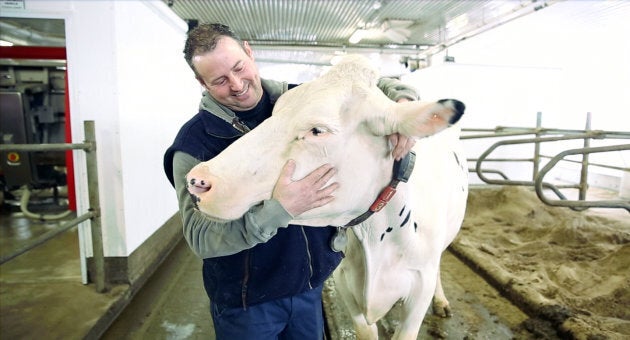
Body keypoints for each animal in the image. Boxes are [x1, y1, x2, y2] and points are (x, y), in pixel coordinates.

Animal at [188, 55, 470, 340]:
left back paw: (441, 301)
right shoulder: (345, 282)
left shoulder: (418, 291)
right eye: (274, 113)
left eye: (317, 130)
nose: (199, 180)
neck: (377, 238)